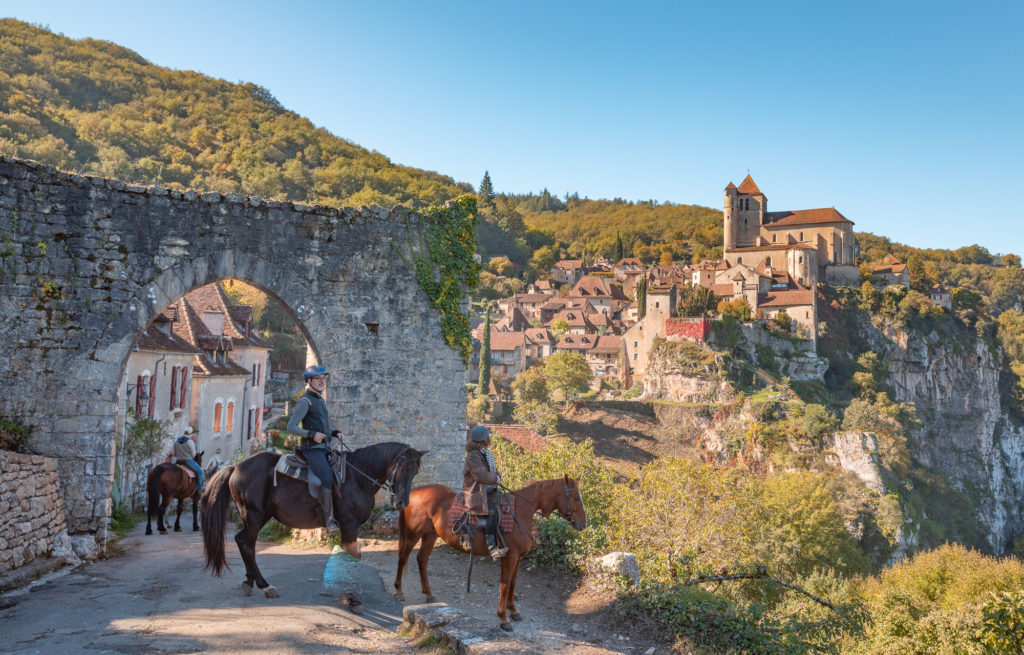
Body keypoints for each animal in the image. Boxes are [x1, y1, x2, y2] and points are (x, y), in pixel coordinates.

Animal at [201, 446, 425, 597]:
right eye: (402, 468)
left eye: (415, 471)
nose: (402, 502)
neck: (357, 476)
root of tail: (236, 467)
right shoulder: (350, 525)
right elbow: (351, 554)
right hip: (254, 516)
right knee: (245, 543)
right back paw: (265, 585)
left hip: (257, 517)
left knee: (245, 542)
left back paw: (250, 582)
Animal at [391, 474, 585, 630]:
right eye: (575, 498)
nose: (583, 524)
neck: (520, 511)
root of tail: (414, 492)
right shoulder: (509, 557)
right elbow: (504, 585)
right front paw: (503, 618)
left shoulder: (518, 558)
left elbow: (513, 584)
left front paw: (513, 611)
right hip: (413, 534)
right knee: (402, 558)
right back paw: (399, 591)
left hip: (430, 534)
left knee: (422, 559)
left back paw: (429, 594)